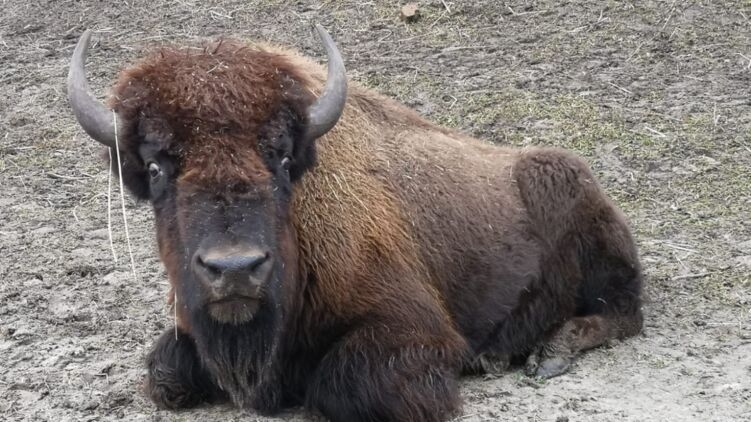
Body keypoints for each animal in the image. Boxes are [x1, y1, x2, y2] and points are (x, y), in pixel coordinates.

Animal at [67, 25, 648, 422]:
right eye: (157, 166)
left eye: (281, 157)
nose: (234, 269)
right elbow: (165, 373)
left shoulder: (413, 333)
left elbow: (337, 384)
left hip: (589, 234)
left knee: (622, 313)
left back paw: (538, 353)